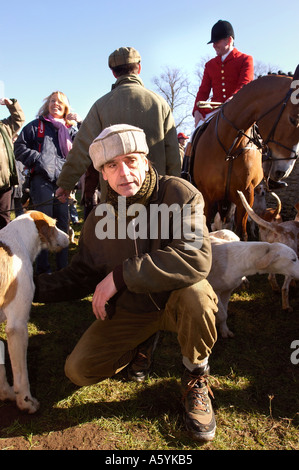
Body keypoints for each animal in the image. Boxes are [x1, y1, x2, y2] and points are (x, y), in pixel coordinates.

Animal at [192, 67, 299, 239]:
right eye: (293, 119)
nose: (283, 171)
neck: (230, 148)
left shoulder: (246, 195)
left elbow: (242, 234)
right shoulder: (206, 196)